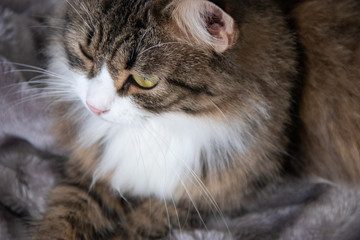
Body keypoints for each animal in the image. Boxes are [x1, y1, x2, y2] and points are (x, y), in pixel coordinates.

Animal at [30, 0, 360, 239]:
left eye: (144, 81)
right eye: (86, 52)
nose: (94, 107)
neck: (162, 125)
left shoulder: (203, 195)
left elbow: (139, 226)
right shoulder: (95, 170)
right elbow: (63, 218)